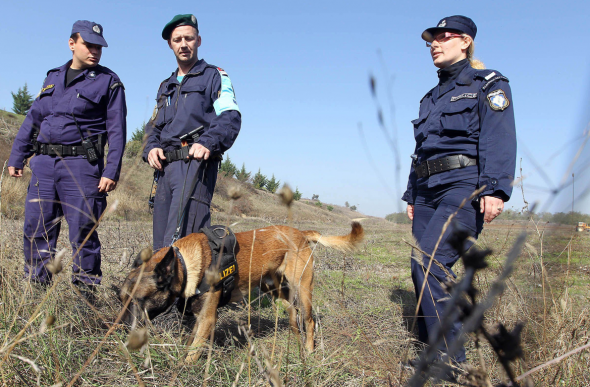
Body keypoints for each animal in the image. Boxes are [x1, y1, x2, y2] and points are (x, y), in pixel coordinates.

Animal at [120, 223, 366, 362]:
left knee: (309, 320)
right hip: (273, 289)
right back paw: (295, 339)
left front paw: (183, 370)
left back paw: (308, 349)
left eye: (139, 301)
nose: (121, 330)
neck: (184, 263)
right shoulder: (199, 317)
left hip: (303, 290)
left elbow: (193, 352)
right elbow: (192, 342)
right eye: (121, 298)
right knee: (293, 314)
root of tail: (302, 233)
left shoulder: (208, 318)